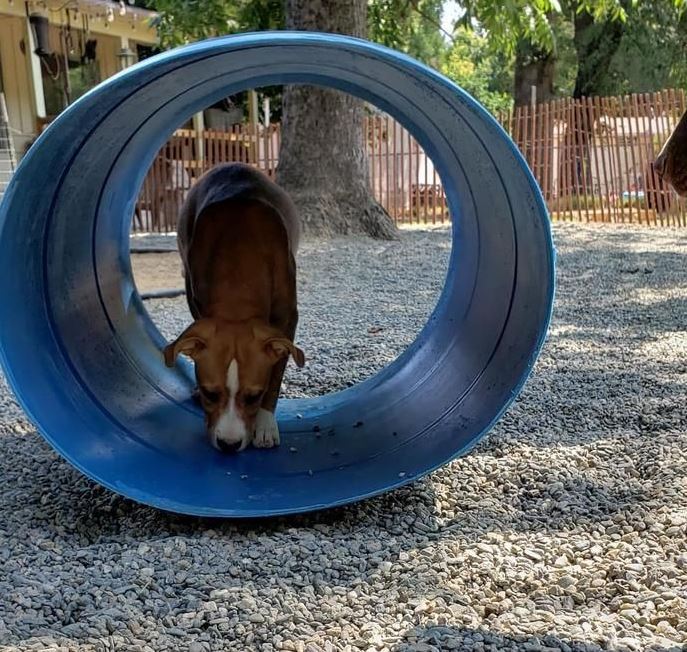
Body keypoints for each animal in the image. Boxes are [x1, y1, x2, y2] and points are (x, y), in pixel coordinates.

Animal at [164, 162, 304, 454]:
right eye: (210, 393)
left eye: (254, 396)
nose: (229, 445)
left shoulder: (287, 320)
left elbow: (276, 373)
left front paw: (265, 425)